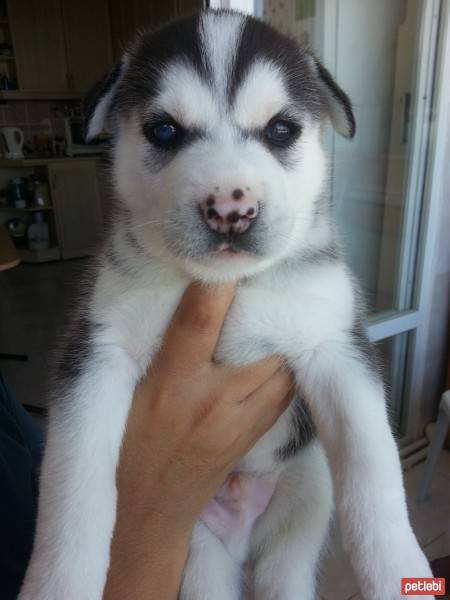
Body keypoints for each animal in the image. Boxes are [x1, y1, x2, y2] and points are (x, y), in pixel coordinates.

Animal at [18, 9, 432, 600]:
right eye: (164, 130)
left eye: (281, 130)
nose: (230, 210)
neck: (230, 285)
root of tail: (240, 532)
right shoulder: (98, 348)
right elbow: (73, 484)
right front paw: (58, 581)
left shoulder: (335, 346)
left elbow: (375, 473)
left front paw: (398, 568)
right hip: (197, 552)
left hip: (303, 499)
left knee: (287, 569)